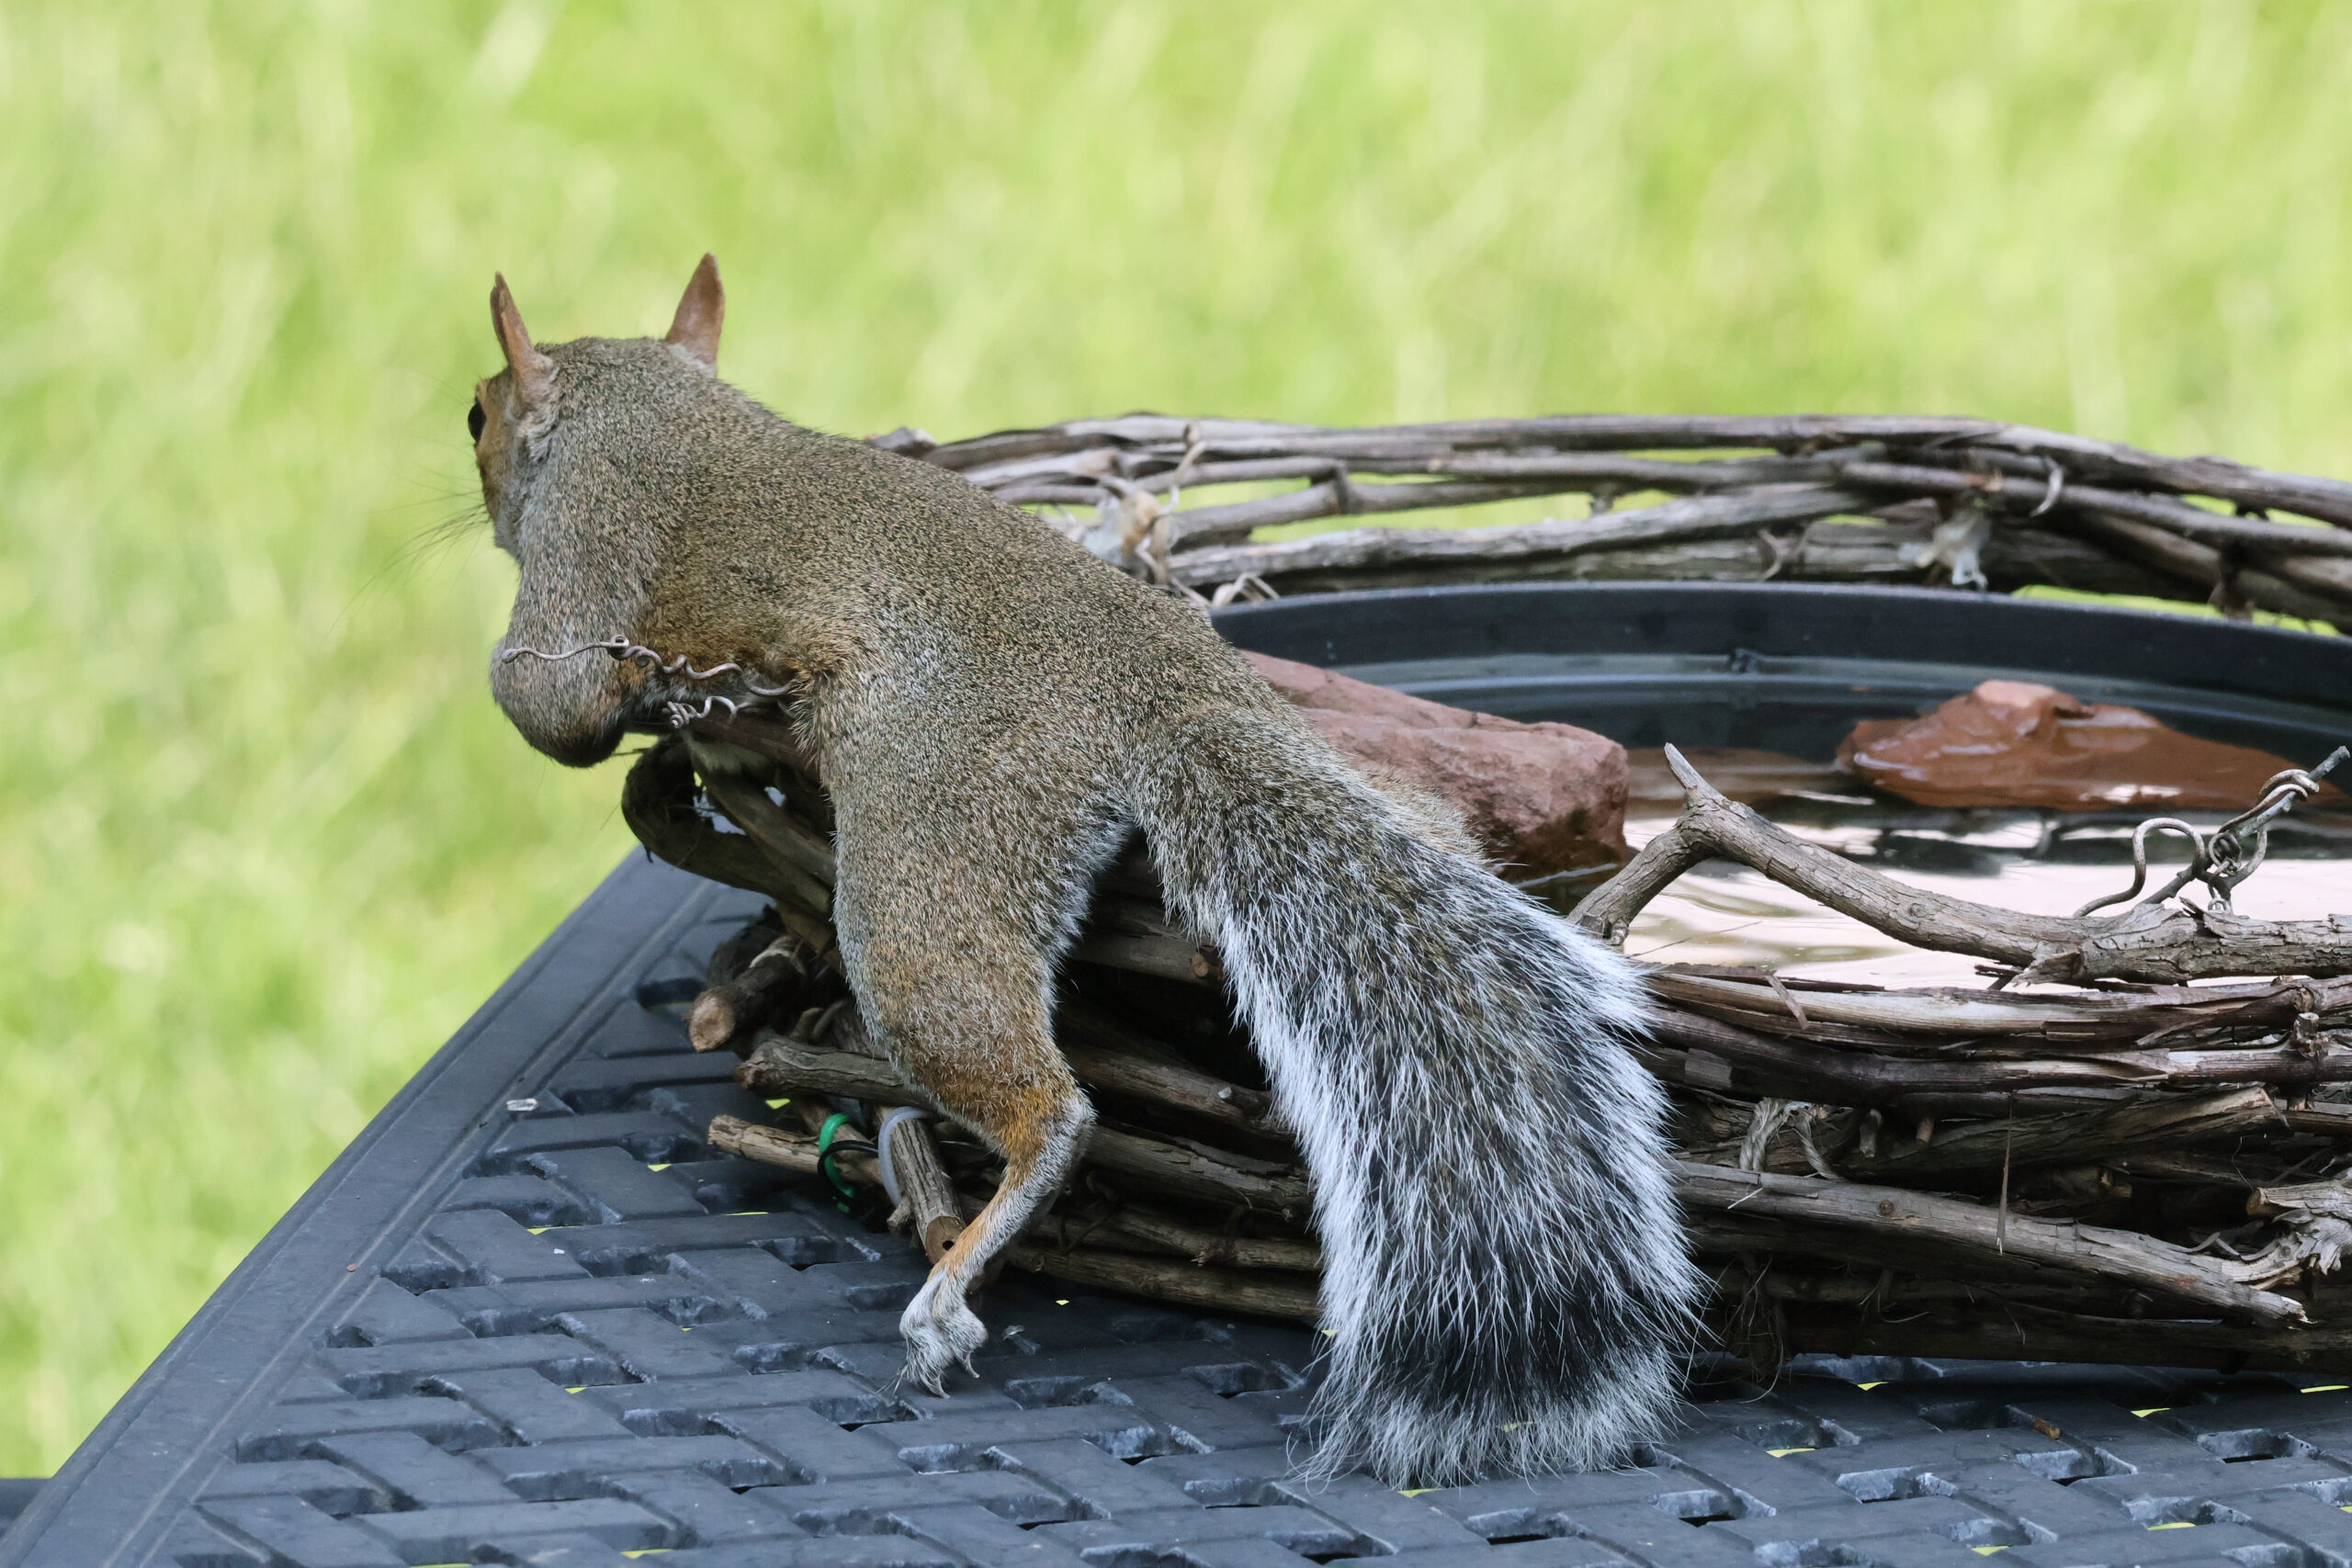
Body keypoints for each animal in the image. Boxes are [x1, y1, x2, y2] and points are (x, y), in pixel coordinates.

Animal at [470, 255, 1697, 1486]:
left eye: (477, 414)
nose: (470, 466)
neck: (661, 410)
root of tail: (1158, 691)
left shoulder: (584, 553)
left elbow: (552, 700)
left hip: (935, 837)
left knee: (1038, 1096)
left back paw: (962, 1263)